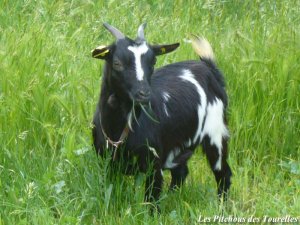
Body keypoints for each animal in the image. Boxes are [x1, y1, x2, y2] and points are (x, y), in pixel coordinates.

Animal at [91, 22, 232, 209]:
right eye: (117, 63)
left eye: (153, 62)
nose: (144, 93)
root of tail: (209, 68)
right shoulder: (106, 163)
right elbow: (110, 193)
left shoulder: (154, 164)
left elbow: (152, 199)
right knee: (181, 171)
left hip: (216, 133)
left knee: (223, 173)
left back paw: (222, 206)